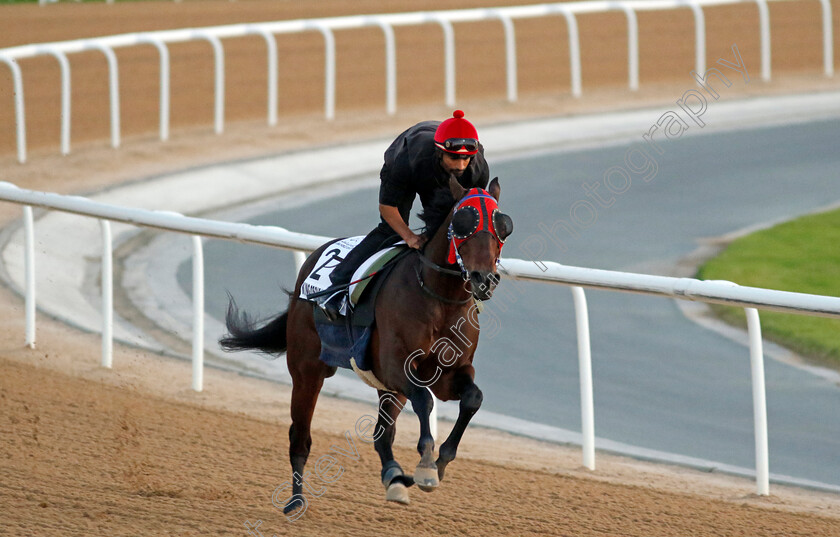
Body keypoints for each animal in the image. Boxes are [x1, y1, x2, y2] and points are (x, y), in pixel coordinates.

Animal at [218, 176, 512, 510]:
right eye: (463, 222)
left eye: (503, 226)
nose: (484, 279)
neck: (440, 299)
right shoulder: (397, 366)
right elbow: (424, 400)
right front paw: (425, 465)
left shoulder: (448, 373)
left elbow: (472, 398)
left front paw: (437, 464)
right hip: (307, 369)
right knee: (300, 435)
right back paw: (295, 500)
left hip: (385, 388)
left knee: (382, 435)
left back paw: (395, 478)